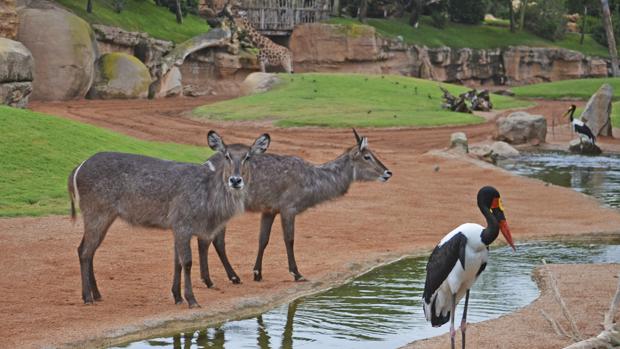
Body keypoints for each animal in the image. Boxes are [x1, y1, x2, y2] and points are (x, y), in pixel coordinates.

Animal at [69, 130, 270, 308]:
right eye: (227, 155)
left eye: (248, 157)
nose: (235, 180)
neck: (208, 196)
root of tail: (77, 168)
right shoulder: (182, 225)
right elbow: (187, 262)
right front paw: (192, 300)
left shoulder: (177, 228)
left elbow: (177, 262)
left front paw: (177, 297)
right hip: (96, 213)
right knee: (85, 251)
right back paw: (87, 297)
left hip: (106, 216)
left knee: (86, 250)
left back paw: (97, 293)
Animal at [197, 128, 392, 286]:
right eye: (367, 156)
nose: (388, 172)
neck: (312, 179)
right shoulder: (288, 208)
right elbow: (289, 239)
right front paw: (297, 273)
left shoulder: (270, 209)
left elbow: (263, 240)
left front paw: (257, 273)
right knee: (213, 239)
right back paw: (226, 278)